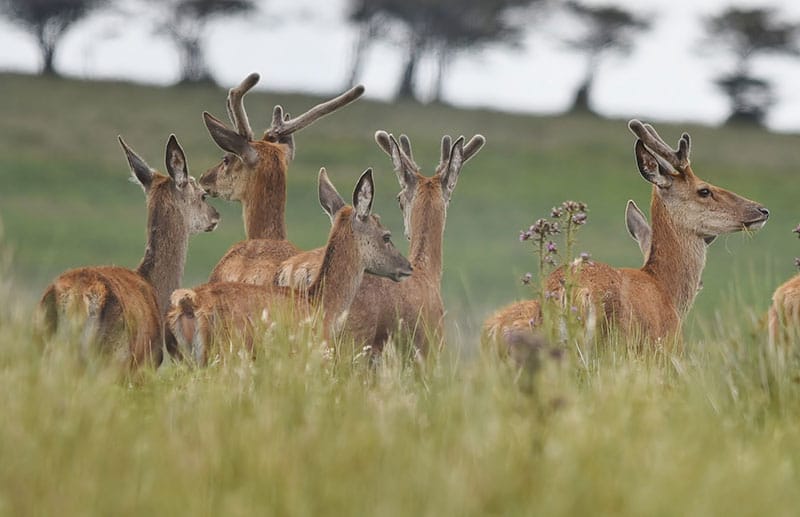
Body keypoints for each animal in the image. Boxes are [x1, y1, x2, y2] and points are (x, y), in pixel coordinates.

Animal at [37, 136, 220, 370]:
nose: (216, 215)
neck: (156, 290)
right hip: (113, 356)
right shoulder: (146, 363)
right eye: (203, 195)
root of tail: (76, 301)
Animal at [165, 168, 413, 365]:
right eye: (387, 236)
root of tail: (187, 304)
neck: (321, 304)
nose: (407, 266)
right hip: (224, 354)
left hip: (183, 360)